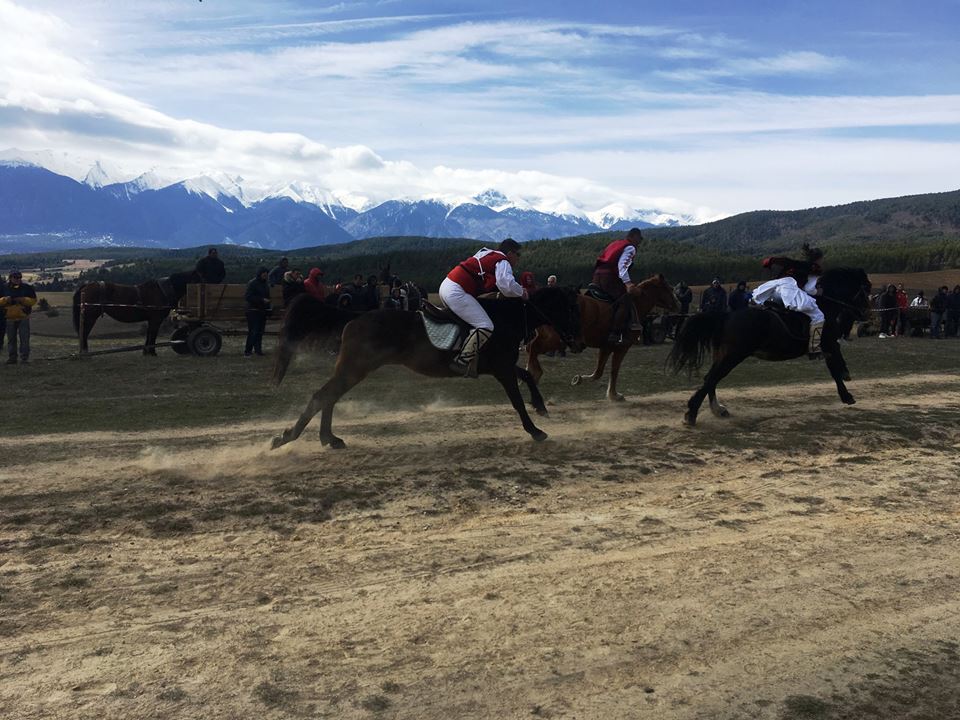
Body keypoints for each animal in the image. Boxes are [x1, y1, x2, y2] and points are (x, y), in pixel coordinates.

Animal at [74, 270, 202, 354]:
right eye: (198, 279)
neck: (163, 291)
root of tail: (86, 286)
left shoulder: (151, 320)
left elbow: (149, 334)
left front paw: (146, 351)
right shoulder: (156, 319)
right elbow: (153, 335)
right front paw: (152, 352)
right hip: (90, 317)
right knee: (84, 333)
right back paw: (85, 353)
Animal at [270, 286, 584, 450]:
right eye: (571, 309)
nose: (578, 342)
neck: (508, 318)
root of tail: (354, 317)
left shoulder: (502, 365)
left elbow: (527, 376)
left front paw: (540, 406)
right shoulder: (502, 370)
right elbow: (517, 401)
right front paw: (535, 430)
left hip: (352, 369)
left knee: (329, 396)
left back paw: (328, 439)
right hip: (355, 368)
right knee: (323, 396)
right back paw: (288, 438)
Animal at [528, 272, 680, 402]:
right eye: (669, 288)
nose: (677, 305)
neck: (635, 305)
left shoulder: (606, 347)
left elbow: (599, 372)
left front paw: (581, 379)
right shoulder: (621, 347)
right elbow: (614, 370)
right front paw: (613, 395)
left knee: (531, 347)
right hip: (557, 340)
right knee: (533, 348)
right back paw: (535, 373)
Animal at [668, 270, 872, 428]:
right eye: (865, 290)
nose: (867, 314)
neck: (825, 303)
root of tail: (725, 317)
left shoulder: (828, 345)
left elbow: (836, 365)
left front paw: (846, 383)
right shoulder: (828, 343)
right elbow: (835, 367)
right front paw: (846, 392)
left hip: (724, 355)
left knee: (710, 379)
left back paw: (716, 410)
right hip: (733, 355)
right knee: (711, 378)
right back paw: (692, 414)